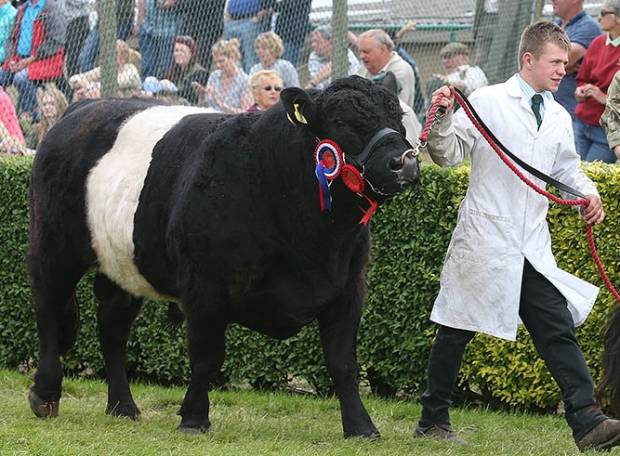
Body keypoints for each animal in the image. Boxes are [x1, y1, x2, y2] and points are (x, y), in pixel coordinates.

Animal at [26, 76, 418, 436]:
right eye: (342, 122)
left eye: (398, 117)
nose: (405, 162)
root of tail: (82, 108)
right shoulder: (205, 288)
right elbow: (207, 357)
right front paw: (194, 419)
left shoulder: (348, 287)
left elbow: (343, 363)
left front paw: (361, 427)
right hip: (52, 246)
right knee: (48, 311)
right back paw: (46, 394)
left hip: (123, 265)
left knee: (112, 328)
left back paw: (123, 406)